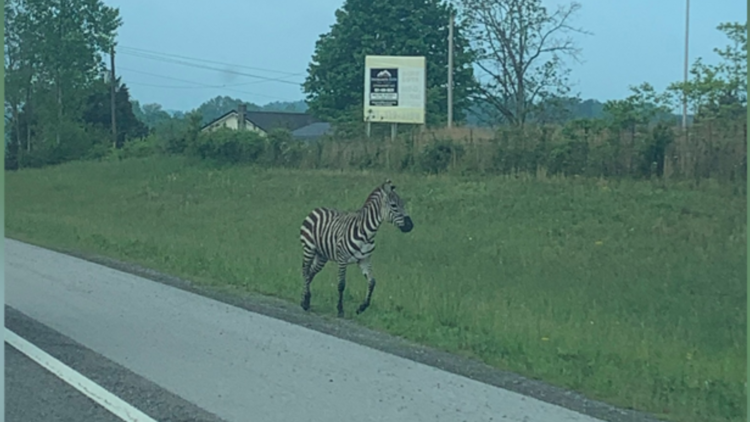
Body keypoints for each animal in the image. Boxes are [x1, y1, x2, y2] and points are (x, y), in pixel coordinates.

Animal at [299, 179, 414, 317]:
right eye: (394, 206)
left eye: (403, 204)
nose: (410, 226)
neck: (367, 233)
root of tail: (317, 209)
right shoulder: (342, 259)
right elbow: (341, 284)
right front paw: (340, 309)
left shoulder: (365, 259)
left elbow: (372, 282)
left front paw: (362, 307)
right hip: (309, 248)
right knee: (305, 271)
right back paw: (305, 301)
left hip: (321, 256)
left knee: (310, 273)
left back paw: (305, 299)